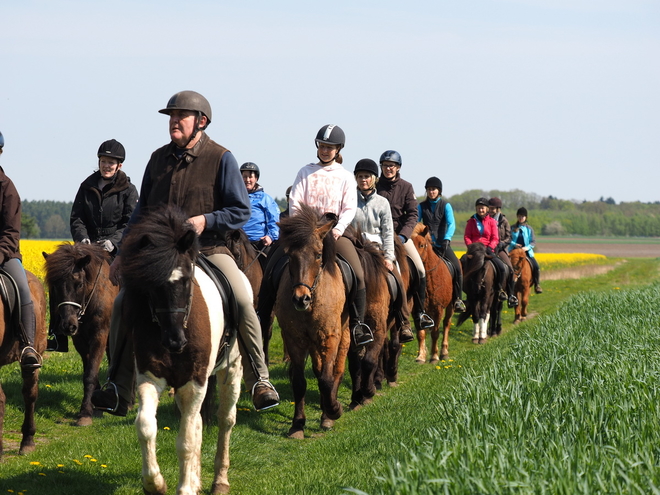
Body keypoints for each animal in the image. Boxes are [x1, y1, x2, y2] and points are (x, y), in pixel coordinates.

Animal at [43, 243, 116, 426]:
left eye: (80, 284)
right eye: (54, 286)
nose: (68, 325)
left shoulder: (99, 335)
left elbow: (90, 374)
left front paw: (85, 414)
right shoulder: (80, 340)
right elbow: (89, 372)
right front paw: (93, 408)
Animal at [119, 207, 242, 495]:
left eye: (186, 280)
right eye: (152, 285)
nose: (175, 341)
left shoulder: (194, 382)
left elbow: (185, 440)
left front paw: (184, 488)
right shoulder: (151, 378)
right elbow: (146, 426)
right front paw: (155, 483)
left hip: (231, 370)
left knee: (225, 420)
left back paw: (220, 480)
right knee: (196, 423)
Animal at [274, 205, 350, 438]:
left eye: (318, 255)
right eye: (289, 256)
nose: (301, 299)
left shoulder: (330, 337)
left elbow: (327, 379)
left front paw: (333, 411)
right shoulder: (295, 340)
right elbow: (299, 381)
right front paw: (297, 424)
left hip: (344, 334)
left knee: (336, 371)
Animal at [410, 223, 456, 362]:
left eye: (422, 245)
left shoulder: (438, 309)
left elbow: (435, 332)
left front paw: (434, 356)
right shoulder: (417, 311)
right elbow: (421, 333)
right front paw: (421, 356)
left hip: (451, 306)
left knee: (446, 324)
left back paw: (444, 352)